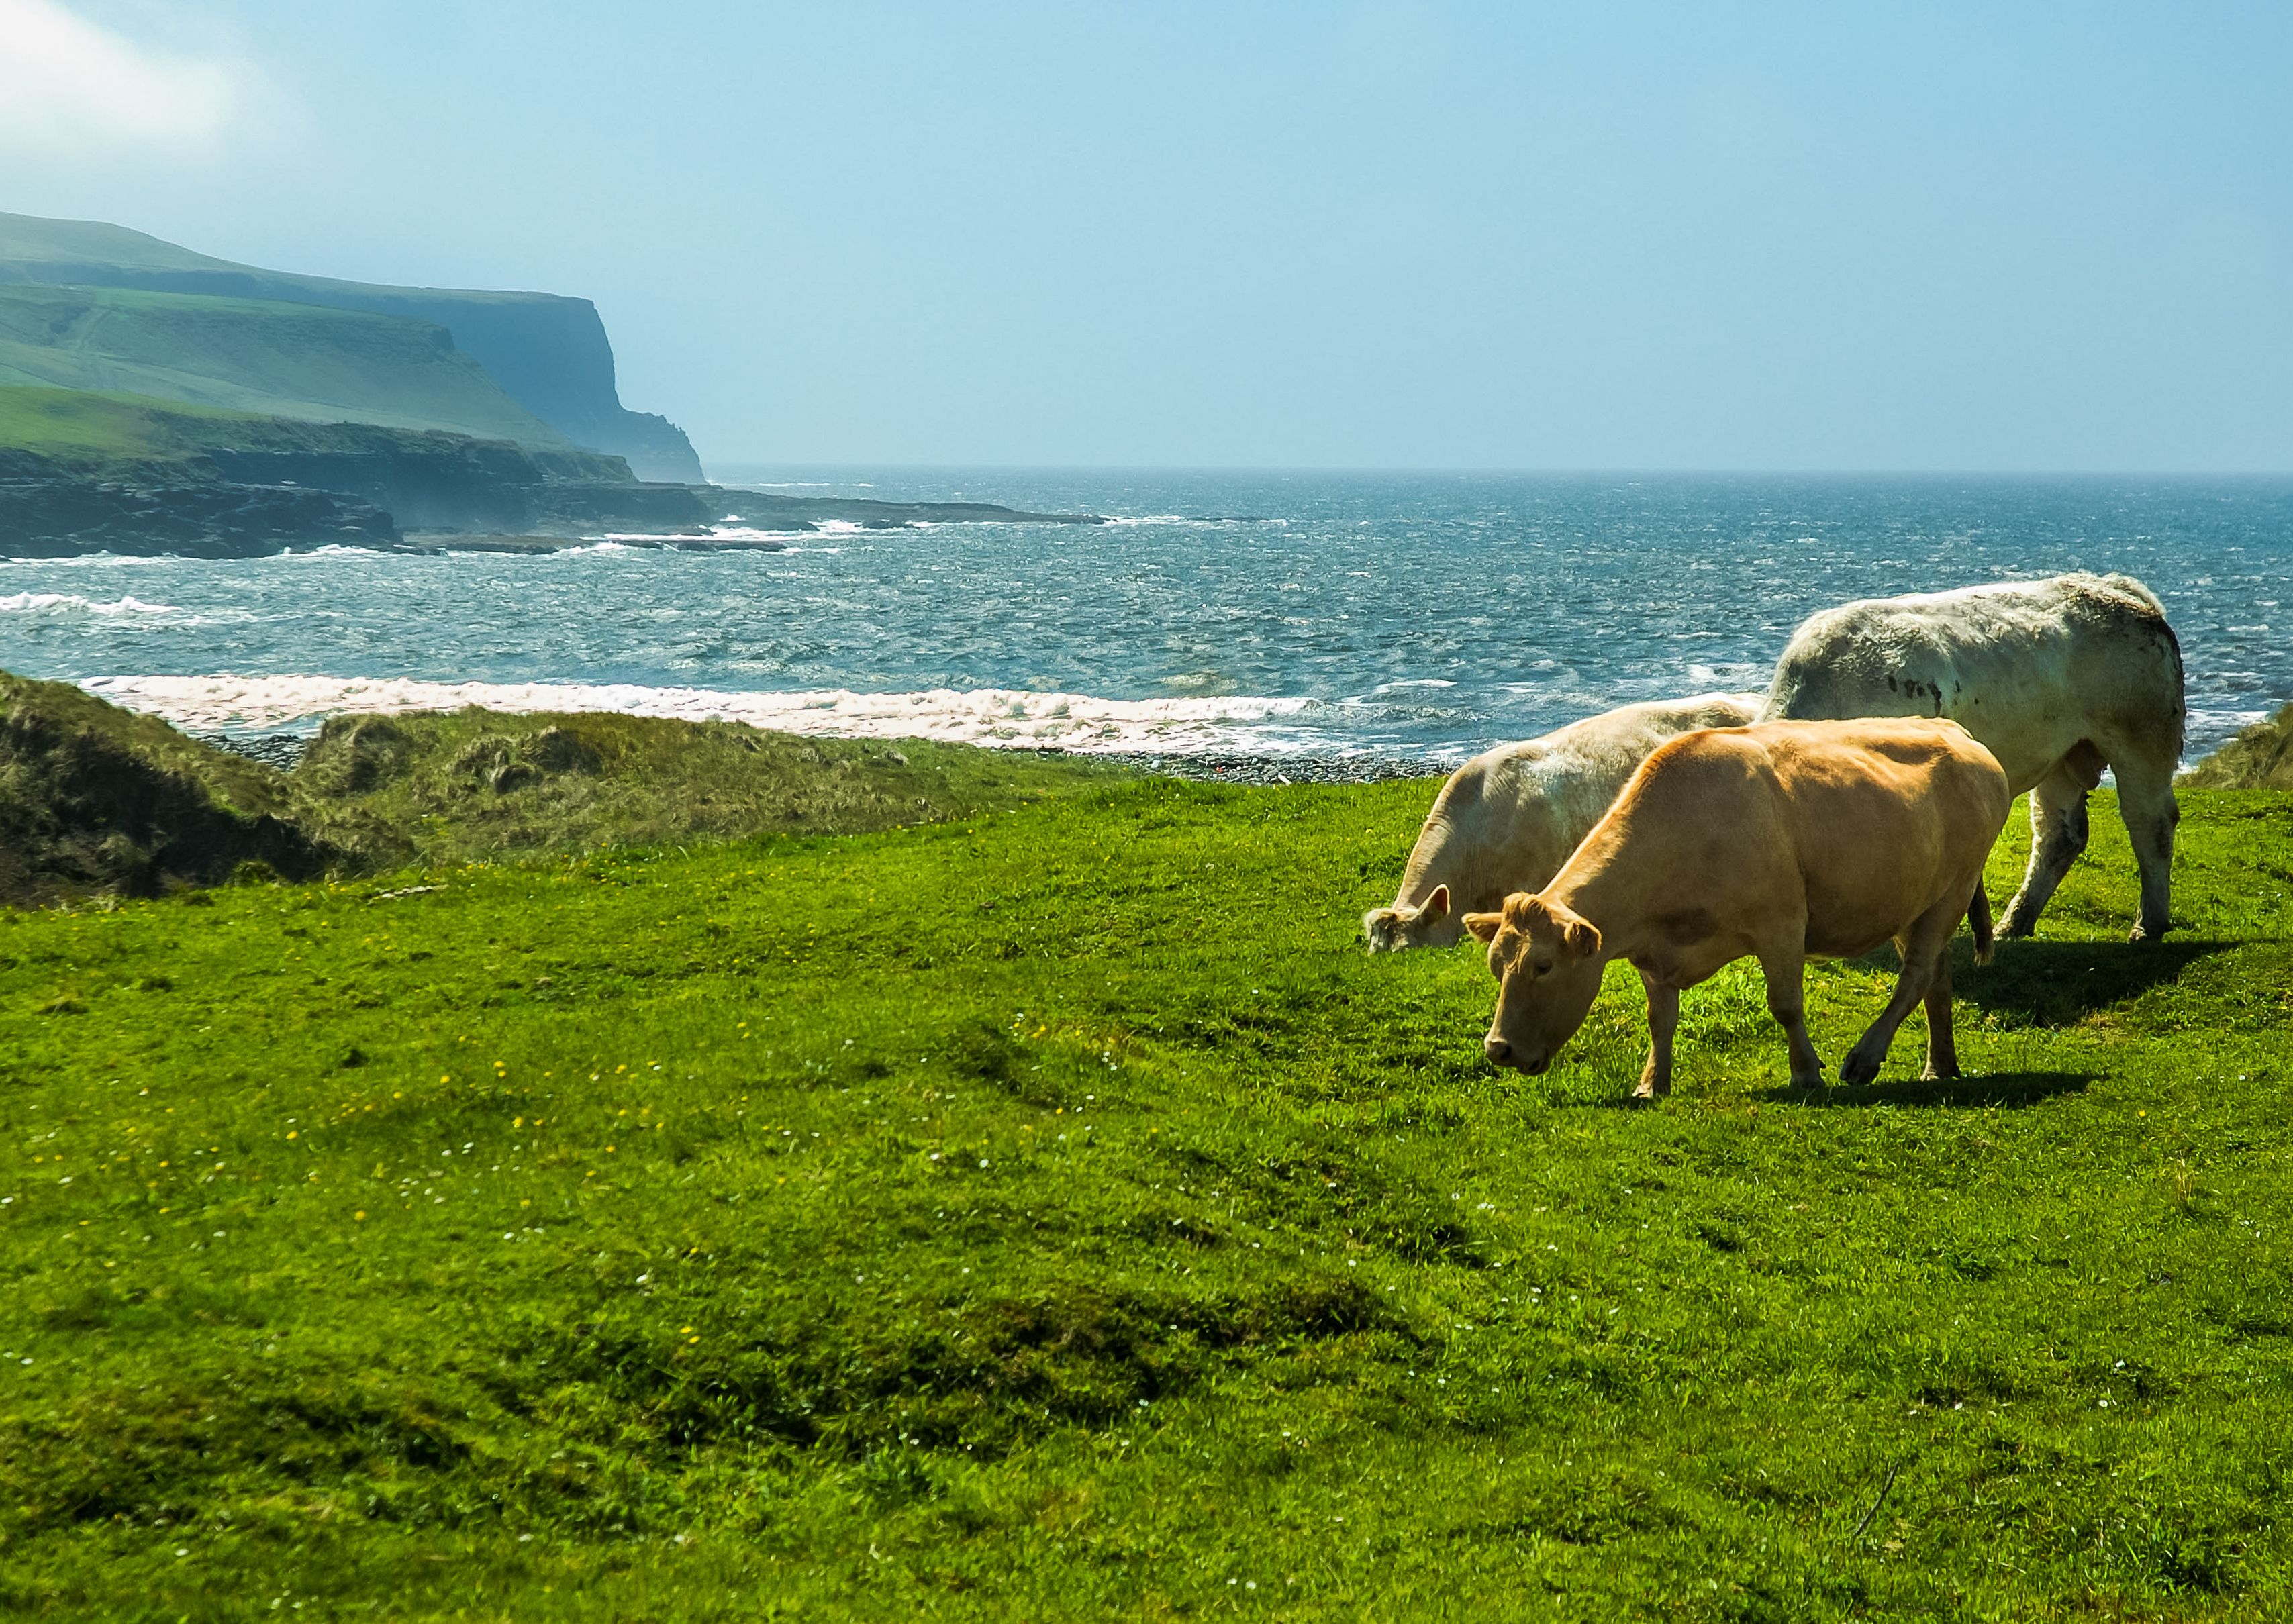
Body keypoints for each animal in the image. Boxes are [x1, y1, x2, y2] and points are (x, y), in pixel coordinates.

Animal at [1466, 718, 2010, 1101]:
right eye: (1496, 966)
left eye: (1543, 966)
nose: (1498, 1049)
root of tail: (1957, 732)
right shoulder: (1653, 954)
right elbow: (1660, 1019)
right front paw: (1652, 1084)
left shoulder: (1782, 924)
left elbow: (1786, 1005)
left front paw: (1806, 1073)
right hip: (1912, 900)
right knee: (1936, 978)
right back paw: (1939, 1066)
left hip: (1954, 889)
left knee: (1916, 977)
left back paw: (1865, 1059)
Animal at [1759, 573, 2184, 942]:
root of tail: (2116, 588)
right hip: (2063, 754)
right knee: (2059, 835)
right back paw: (2015, 923)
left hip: (2144, 741)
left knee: (2151, 823)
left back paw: (2149, 924)